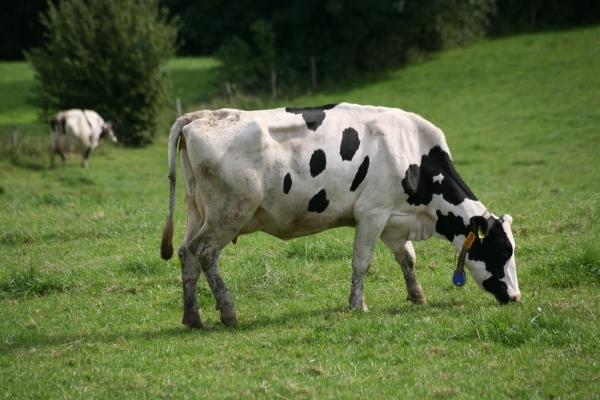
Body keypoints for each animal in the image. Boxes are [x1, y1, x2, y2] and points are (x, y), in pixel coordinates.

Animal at [161, 103, 520, 328]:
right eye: (501, 251)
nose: (516, 297)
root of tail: (201, 116)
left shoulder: (392, 219)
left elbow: (407, 258)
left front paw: (417, 296)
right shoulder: (372, 213)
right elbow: (362, 263)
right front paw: (357, 305)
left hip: (198, 212)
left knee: (186, 253)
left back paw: (192, 317)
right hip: (229, 213)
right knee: (205, 253)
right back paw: (228, 311)